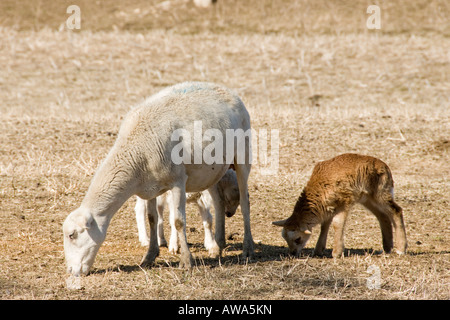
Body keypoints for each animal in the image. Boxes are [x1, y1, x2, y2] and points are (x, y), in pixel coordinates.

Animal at [62, 81, 253, 276]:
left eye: (72, 235)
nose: (70, 270)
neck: (134, 152)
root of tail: (227, 90)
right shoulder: (150, 188)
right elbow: (152, 219)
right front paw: (149, 256)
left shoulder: (178, 181)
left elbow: (178, 221)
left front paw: (186, 260)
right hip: (213, 171)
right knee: (218, 203)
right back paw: (219, 245)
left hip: (243, 156)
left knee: (245, 202)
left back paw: (248, 248)